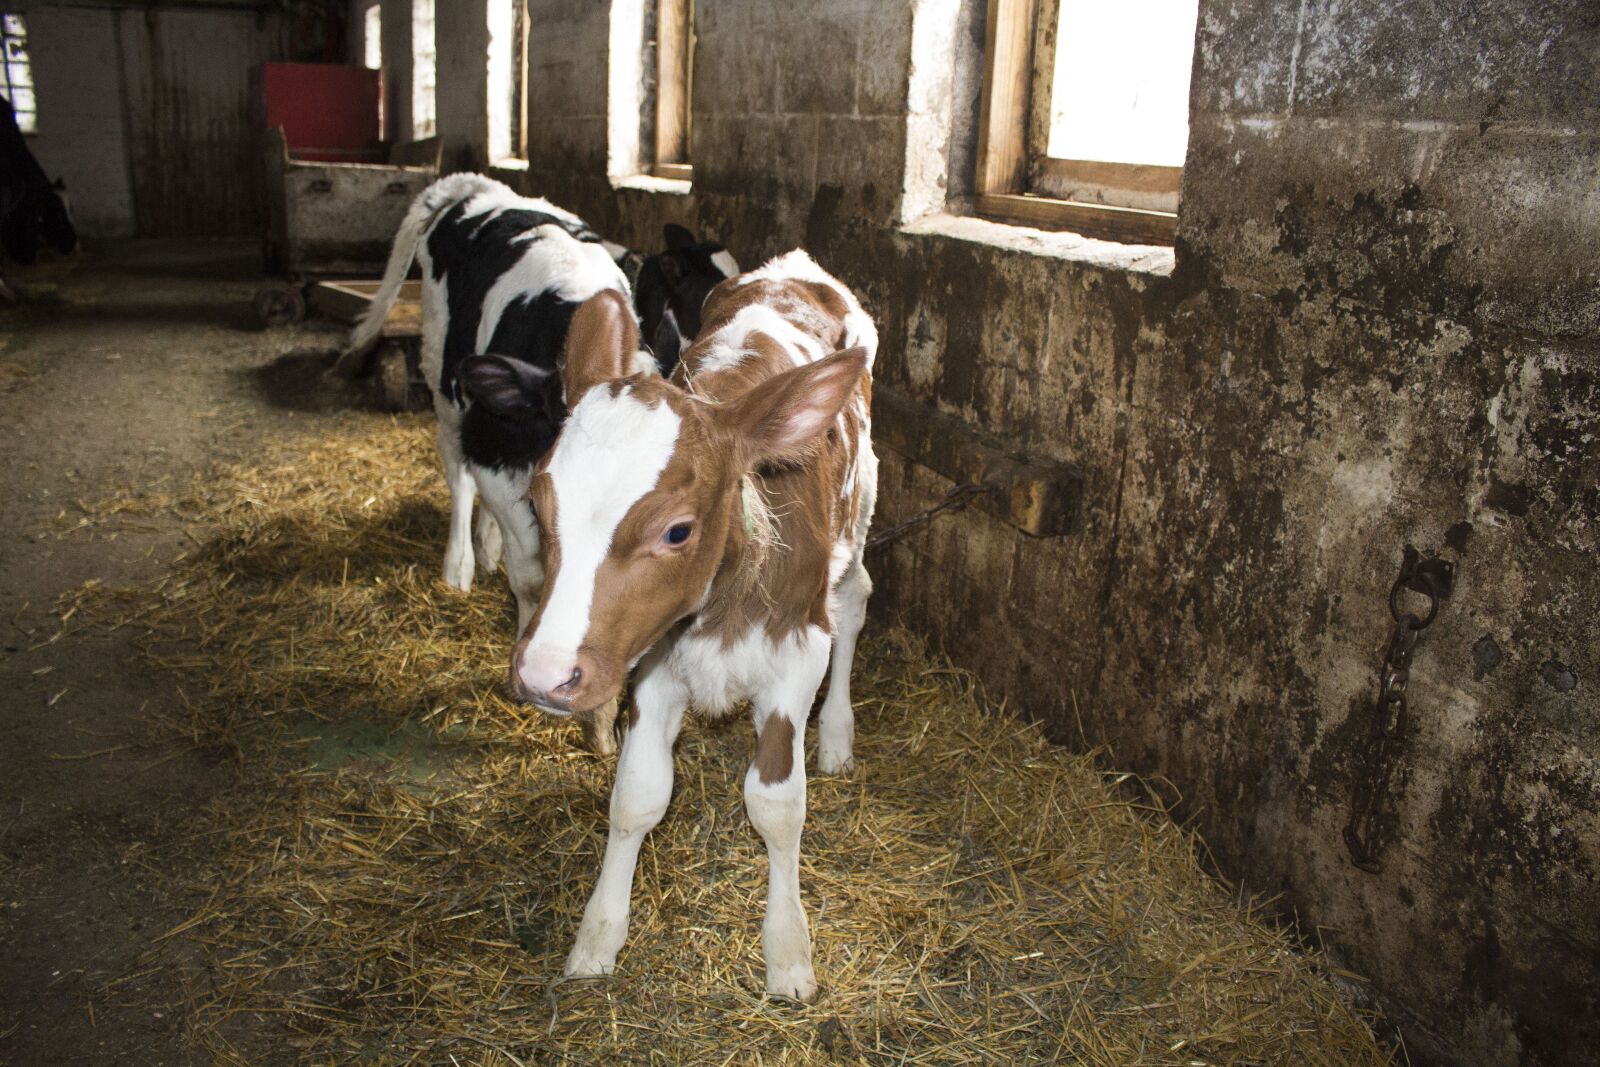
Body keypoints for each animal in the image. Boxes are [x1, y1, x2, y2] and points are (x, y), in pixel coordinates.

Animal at [507, 250, 878, 1001]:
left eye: (677, 530)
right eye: (538, 502)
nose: (543, 673)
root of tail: (795, 267)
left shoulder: (797, 655)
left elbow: (777, 804)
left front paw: (788, 951)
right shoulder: (652, 665)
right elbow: (636, 796)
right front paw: (598, 936)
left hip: (862, 516)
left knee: (855, 603)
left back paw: (837, 735)